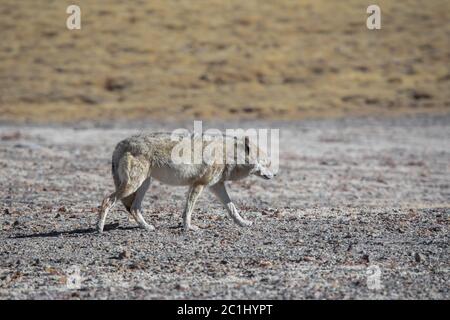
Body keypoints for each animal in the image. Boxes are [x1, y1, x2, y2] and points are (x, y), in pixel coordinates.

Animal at [96, 131, 276, 234]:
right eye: (266, 162)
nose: (275, 174)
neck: (228, 155)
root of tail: (120, 144)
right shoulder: (198, 185)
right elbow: (188, 211)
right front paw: (189, 228)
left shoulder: (216, 186)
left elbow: (232, 209)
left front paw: (243, 223)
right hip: (133, 185)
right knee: (107, 200)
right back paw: (99, 228)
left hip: (143, 185)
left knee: (134, 208)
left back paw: (146, 227)